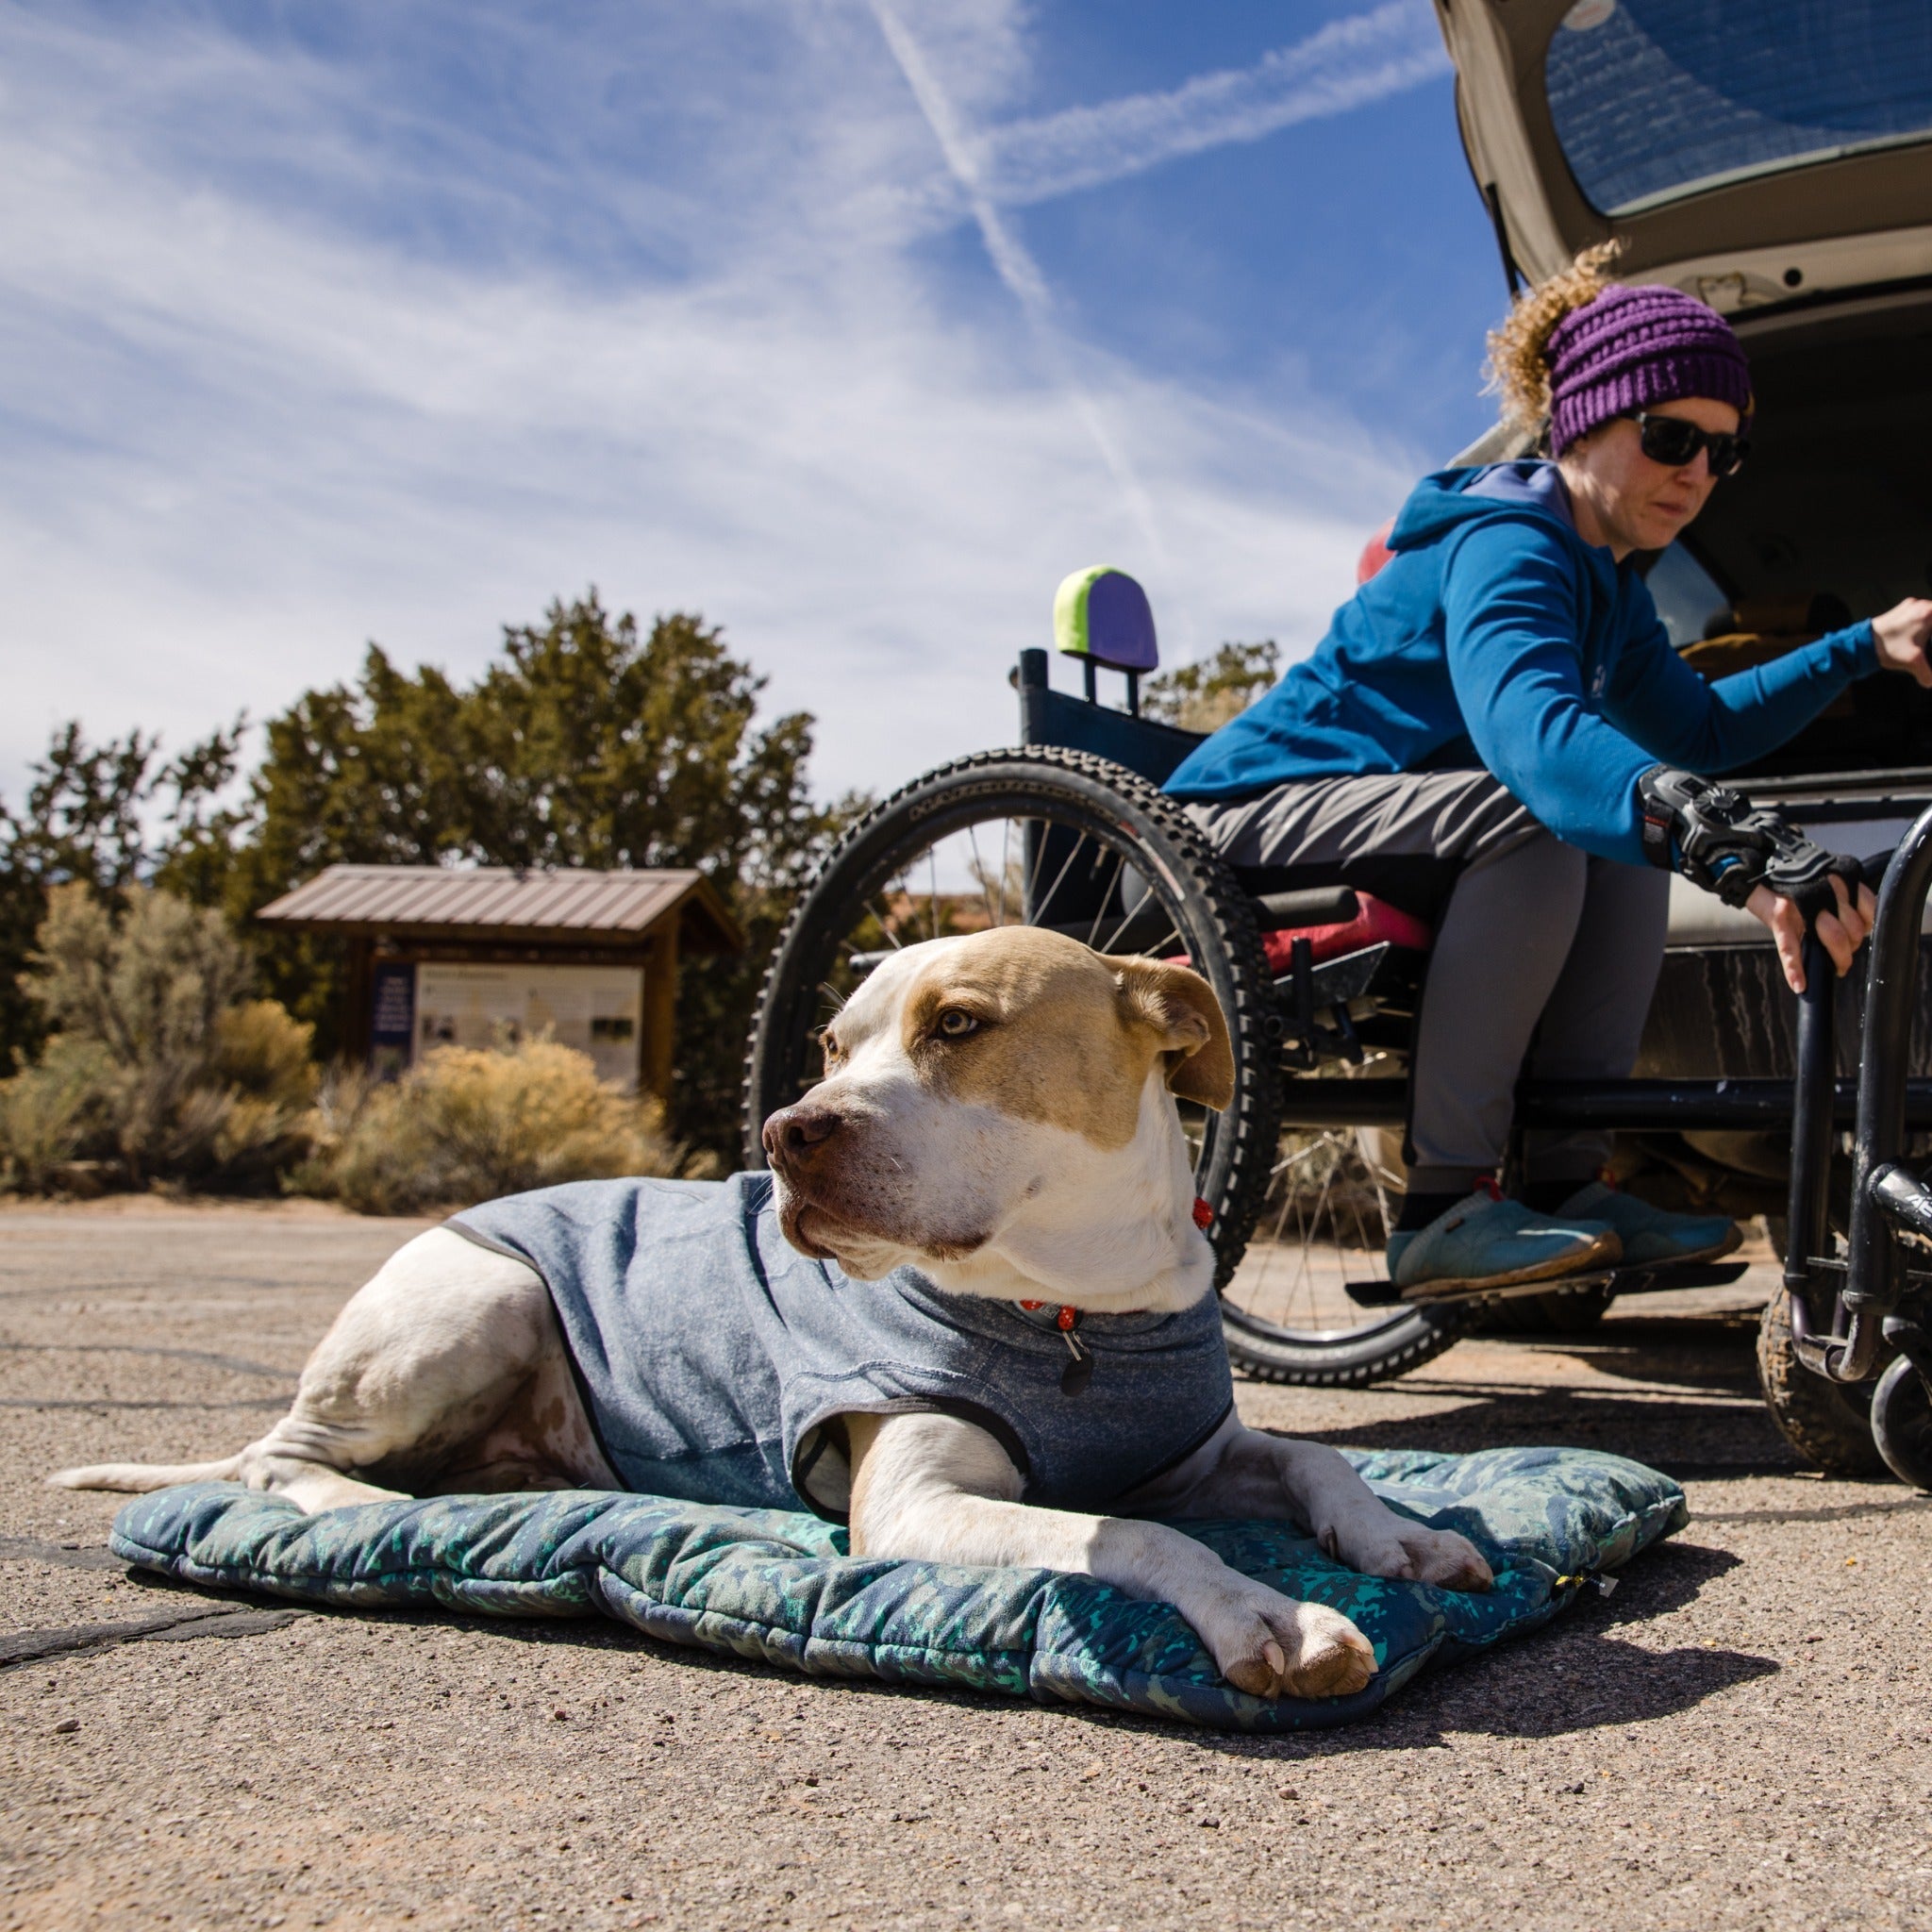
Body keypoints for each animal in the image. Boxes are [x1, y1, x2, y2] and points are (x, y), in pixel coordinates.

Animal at [53, 927, 1483, 1700]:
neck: (1074, 1303)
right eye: (831, 1048)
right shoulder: (917, 1502)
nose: (791, 1132)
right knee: (278, 1460)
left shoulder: (1190, 1449)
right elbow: (1131, 1539)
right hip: (480, 1299)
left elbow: (1309, 1461)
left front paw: (1404, 1536)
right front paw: (1268, 1615)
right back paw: (366, 1509)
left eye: (959, 1024)